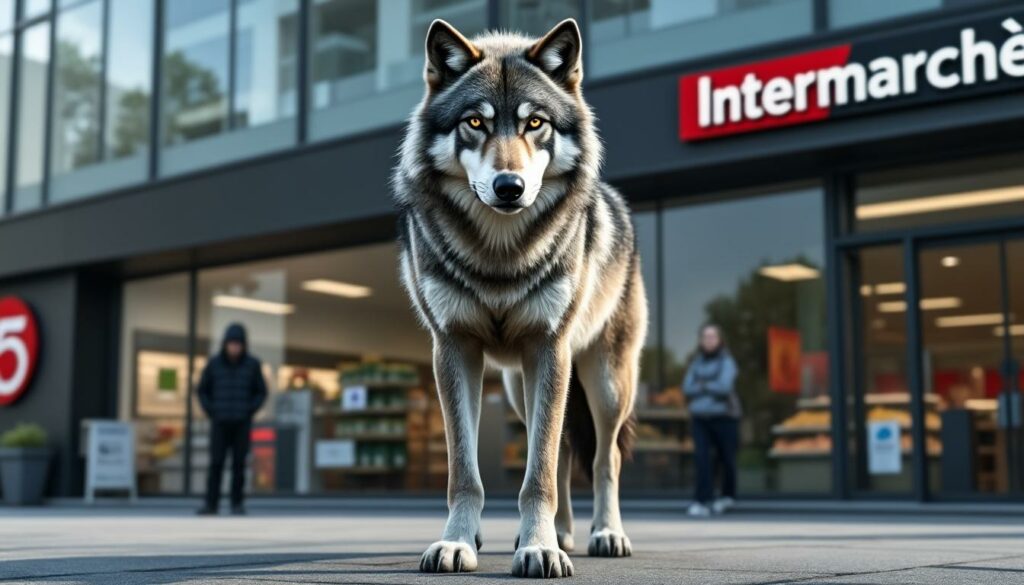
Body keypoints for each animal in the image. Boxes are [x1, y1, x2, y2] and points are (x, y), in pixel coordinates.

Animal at [392, 18, 647, 579]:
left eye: (535, 123)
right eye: (475, 122)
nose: (509, 186)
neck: (499, 256)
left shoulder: (548, 347)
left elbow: (540, 474)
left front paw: (539, 549)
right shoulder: (454, 349)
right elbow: (466, 470)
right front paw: (457, 542)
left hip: (603, 380)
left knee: (603, 459)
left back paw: (605, 534)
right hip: (517, 387)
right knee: (564, 452)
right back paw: (565, 533)